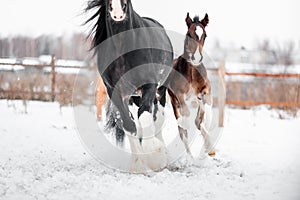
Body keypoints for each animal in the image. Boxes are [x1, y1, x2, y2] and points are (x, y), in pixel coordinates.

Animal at [84, 0, 173, 144]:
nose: (118, 13)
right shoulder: (113, 89)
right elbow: (128, 123)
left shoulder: (149, 85)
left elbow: (144, 116)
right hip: (133, 96)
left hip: (160, 90)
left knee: (157, 119)